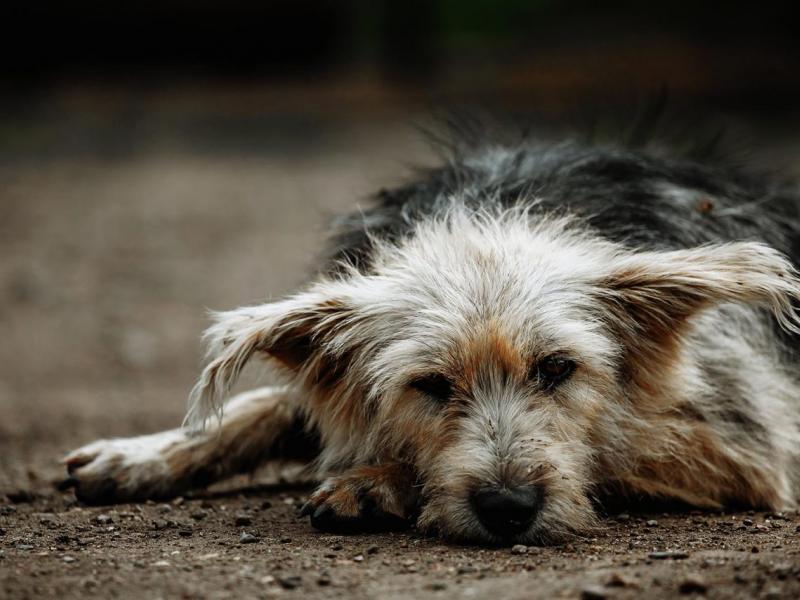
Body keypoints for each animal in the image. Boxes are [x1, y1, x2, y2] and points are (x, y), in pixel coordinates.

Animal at [61, 124, 800, 548]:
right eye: (431, 385)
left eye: (557, 369)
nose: (508, 507)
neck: (492, 217)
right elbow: (273, 404)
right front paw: (146, 454)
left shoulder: (747, 448)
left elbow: (615, 447)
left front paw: (375, 481)